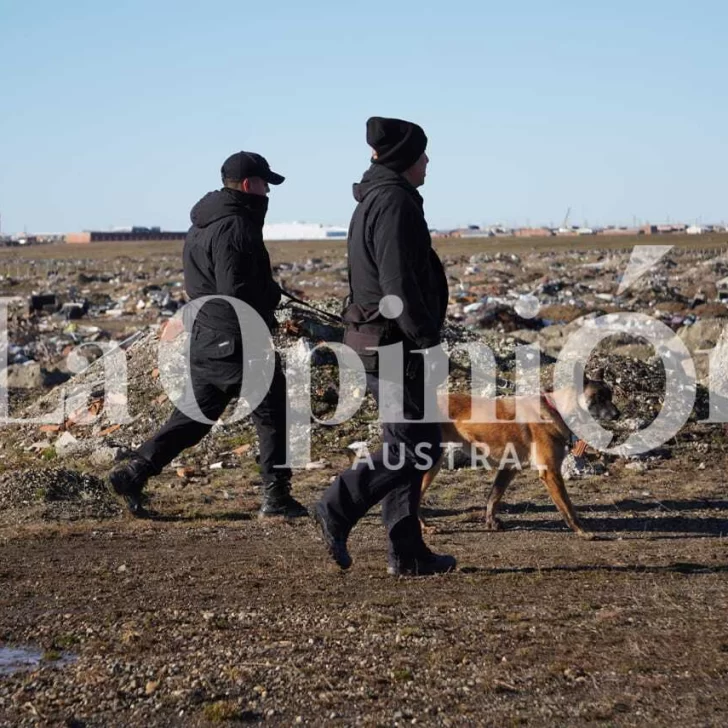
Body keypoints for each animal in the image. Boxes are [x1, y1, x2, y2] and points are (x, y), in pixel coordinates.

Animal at [420, 370, 620, 536]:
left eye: (610, 395)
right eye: (598, 397)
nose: (618, 414)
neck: (557, 410)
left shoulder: (509, 468)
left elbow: (493, 497)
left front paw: (491, 523)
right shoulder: (550, 472)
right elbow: (568, 507)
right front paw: (582, 532)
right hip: (432, 463)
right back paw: (425, 528)